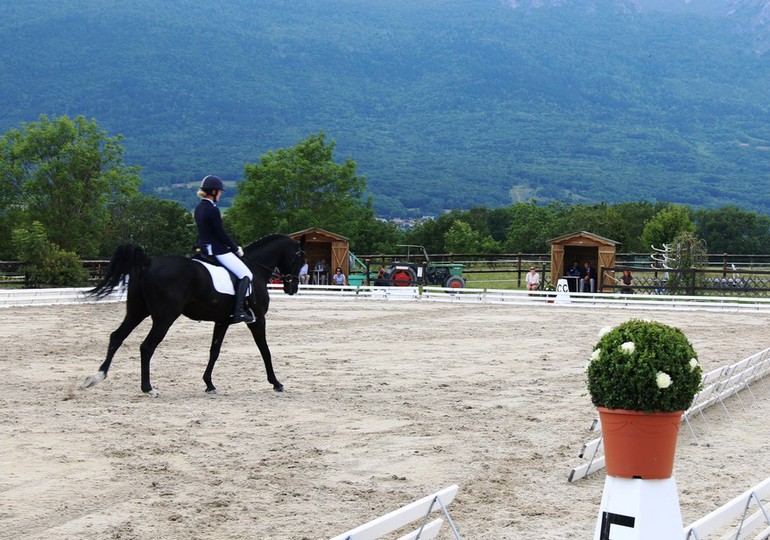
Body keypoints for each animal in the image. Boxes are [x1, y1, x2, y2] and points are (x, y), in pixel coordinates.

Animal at [82, 233, 304, 396]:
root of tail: (147, 263)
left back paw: (96, 377)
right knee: (146, 347)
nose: (292, 287)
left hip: (137, 312)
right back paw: (149, 389)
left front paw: (209, 384)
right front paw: (276, 383)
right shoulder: (257, 319)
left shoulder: (222, 321)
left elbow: (214, 351)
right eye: (301, 258)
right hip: (164, 318)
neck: (256, 269)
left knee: (116, 337)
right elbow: (265, 350)